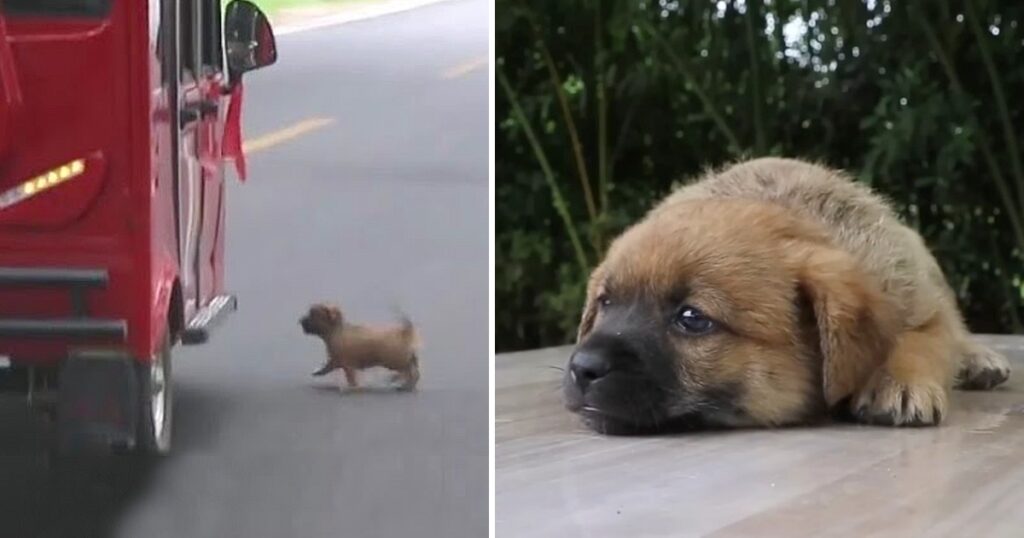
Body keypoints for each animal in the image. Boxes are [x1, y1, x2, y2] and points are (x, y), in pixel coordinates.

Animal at [565, 155, 1011, 432]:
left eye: (692, 319)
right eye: (605, 302)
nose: (582, 368)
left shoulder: (920, 300)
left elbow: (922, 339)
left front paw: (899, 381)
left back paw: (980, 360)